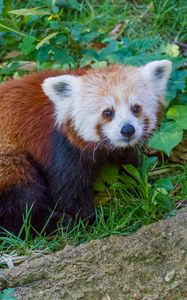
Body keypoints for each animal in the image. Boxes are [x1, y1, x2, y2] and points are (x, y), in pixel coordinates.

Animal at [0, 60, 171, 234]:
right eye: (107, 112)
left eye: (136, 108)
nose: (128, 130)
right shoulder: (64, 148)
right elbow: (68, 193)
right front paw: (92, 220)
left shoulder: (121, 151)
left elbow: (128, 167)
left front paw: (145, 188)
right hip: (9, 157)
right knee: (21, 198)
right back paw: (55, 223)